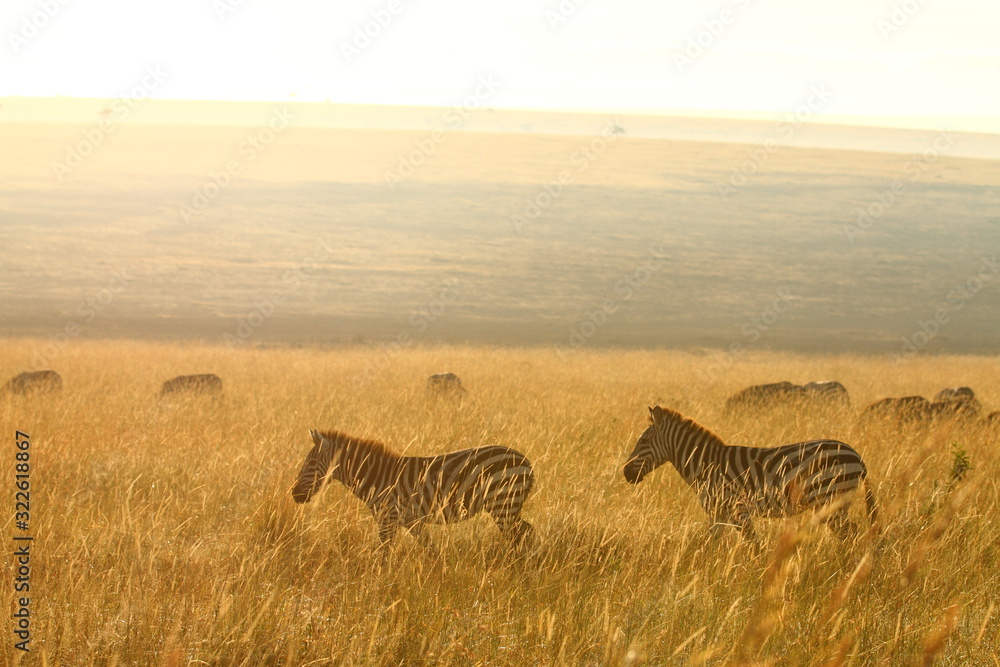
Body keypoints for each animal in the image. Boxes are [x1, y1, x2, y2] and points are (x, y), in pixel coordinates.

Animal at [292, 429, 534, 548]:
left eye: (310, 463)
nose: (294, 494)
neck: (377, 476)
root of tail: (526, 462)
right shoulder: (411, 521)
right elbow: (429, 549)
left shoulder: (388, 519)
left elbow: (382, 554)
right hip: (507, 506)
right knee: (527, 532)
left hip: (503, 504)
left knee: (520, 536)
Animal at [623, 406, 876, 541]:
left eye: (643, 441)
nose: (626, 473)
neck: (706, 464)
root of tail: (857, 456)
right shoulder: (717, 513)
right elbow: (707, 546)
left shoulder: (737, 509)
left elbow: (753, 545)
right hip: (835, 502)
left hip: (830, 499)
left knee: (850, 535)